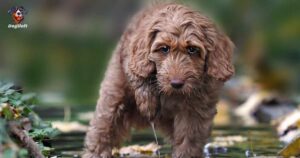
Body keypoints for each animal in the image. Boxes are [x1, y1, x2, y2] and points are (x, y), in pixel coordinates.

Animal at [82, 2, 234, 158]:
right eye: (164, 48)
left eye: (192, 49)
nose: (176, 84)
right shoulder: (132, 56)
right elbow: (138, 73)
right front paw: (148, 103)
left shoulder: (196, 109)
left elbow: (189, 137)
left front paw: (185, 153)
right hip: (114, 89)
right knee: (104, 124)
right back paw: (96, 152)